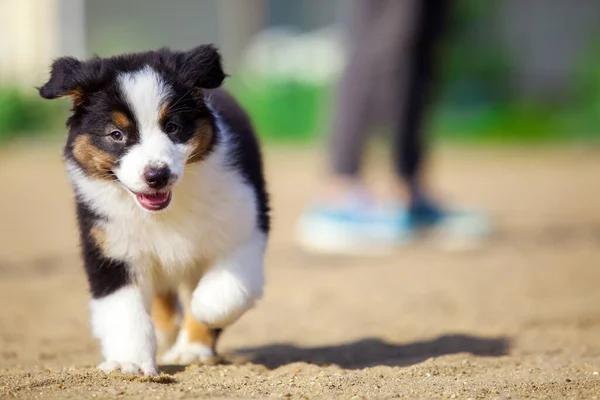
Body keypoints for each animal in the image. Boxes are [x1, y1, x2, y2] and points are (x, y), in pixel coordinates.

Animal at [38, 45, 270, 376]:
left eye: (172, 127)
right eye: (116, 134)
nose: (157, 175)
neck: (165, 212)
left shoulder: (244, 225)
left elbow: (222, 292)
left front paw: (203, 312)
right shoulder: (110, 249)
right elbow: (125, 311)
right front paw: (129, 362)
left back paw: (191, 349)